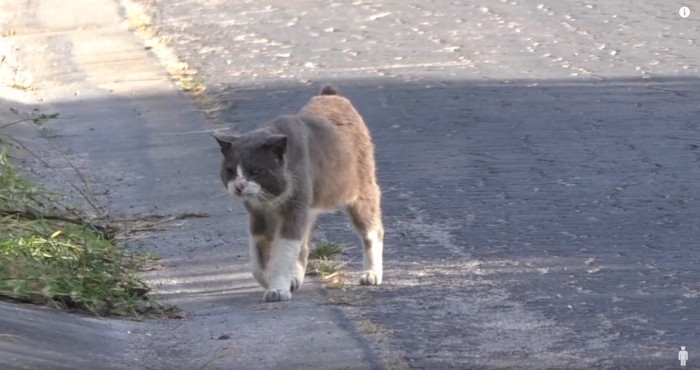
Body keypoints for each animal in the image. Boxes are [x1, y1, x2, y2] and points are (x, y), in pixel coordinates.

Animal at [215, 87, 386, 304]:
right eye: (230, 171)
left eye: (255, 171)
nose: (239, 185)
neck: (270, 198)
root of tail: (331, 95)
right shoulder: (258, 216)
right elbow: (259, 259)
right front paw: (272, 280)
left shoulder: (294, 210)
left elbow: (283, 253)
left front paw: (277, 289)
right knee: (304, 245)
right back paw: (295, 278)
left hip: (362, 189)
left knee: (372, 231)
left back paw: (372, 274)